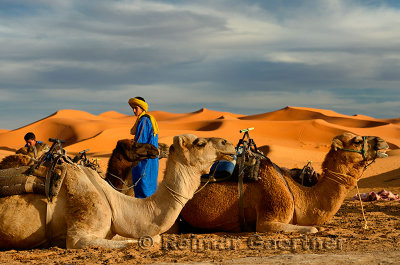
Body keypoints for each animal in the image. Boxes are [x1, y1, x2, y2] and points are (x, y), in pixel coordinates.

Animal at [0, 134, 236, 248]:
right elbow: (145, 241)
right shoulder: (80, 233)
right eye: (200, 143)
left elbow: (150, 238)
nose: (229, 144)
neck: (115, 199)